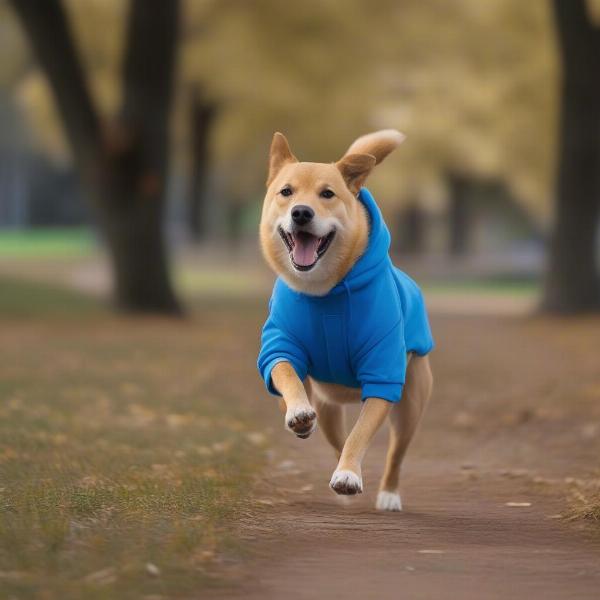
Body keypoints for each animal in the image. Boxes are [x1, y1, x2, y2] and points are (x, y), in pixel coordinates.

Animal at [255, 130, 434, 510]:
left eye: (327, 193)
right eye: (286, 191)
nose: (301, 212)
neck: (325, 293)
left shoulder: (383, 373)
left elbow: (361, 433)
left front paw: (349, 474)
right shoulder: (279, 347)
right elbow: (287, 376)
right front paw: (297, 414)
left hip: (411, 404)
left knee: (395, 452)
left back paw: (387, 493)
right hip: (330, 409)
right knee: (334, 436)